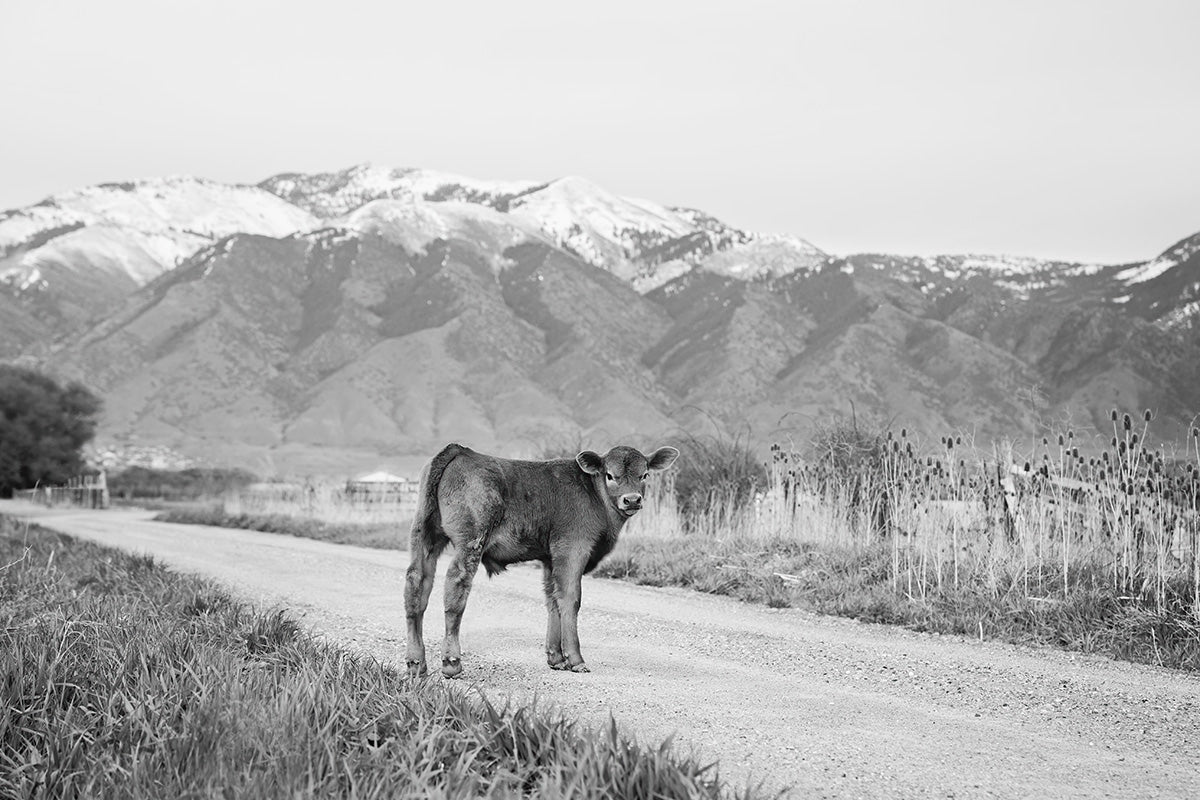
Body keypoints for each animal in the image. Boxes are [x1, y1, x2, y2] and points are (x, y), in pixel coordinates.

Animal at [403, 441, 681, 681]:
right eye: (610, 475)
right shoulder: (572, 549)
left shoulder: (550, 557)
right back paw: (451, 662)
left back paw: (416, 663)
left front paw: (556, 658)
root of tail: (460, 450)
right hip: (470, 542)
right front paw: (575, 659)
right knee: (455, 590)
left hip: (423, 537)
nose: (632, 499)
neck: (594, 496)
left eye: (645, 474)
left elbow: (552, 599)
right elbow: (570, 599)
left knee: (416, 587)